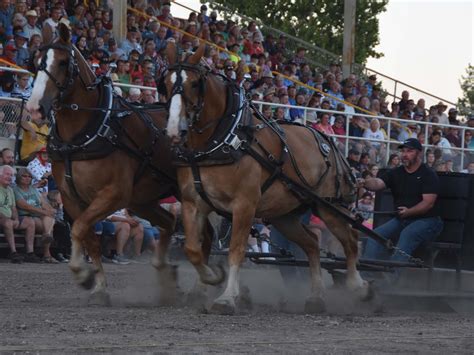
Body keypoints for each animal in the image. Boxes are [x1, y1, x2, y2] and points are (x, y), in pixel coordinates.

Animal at [25, 23, 184, 304]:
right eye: (35, 61)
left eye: (63, 62)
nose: (34, 108)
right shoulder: (71, 198)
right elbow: (89, 238)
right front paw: (98, 286)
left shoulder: (113, 194)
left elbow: (78, 229)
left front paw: (82, 274)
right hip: (142, 201)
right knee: (169, 222)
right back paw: (168, 276)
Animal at [163, 43, 370, 316]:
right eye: (164, 83)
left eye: (196, 83)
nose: (174, 130)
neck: (225, 140)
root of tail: (327, 141)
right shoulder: (194, 204)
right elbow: (194, 249)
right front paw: (210, 278)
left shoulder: (244, 205)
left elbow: (235, 250)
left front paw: (227, 298)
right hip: (284, 216)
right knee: (313, 244)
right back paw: (316, 297)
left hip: (329, 208)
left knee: (351, 241)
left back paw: (359, 286)